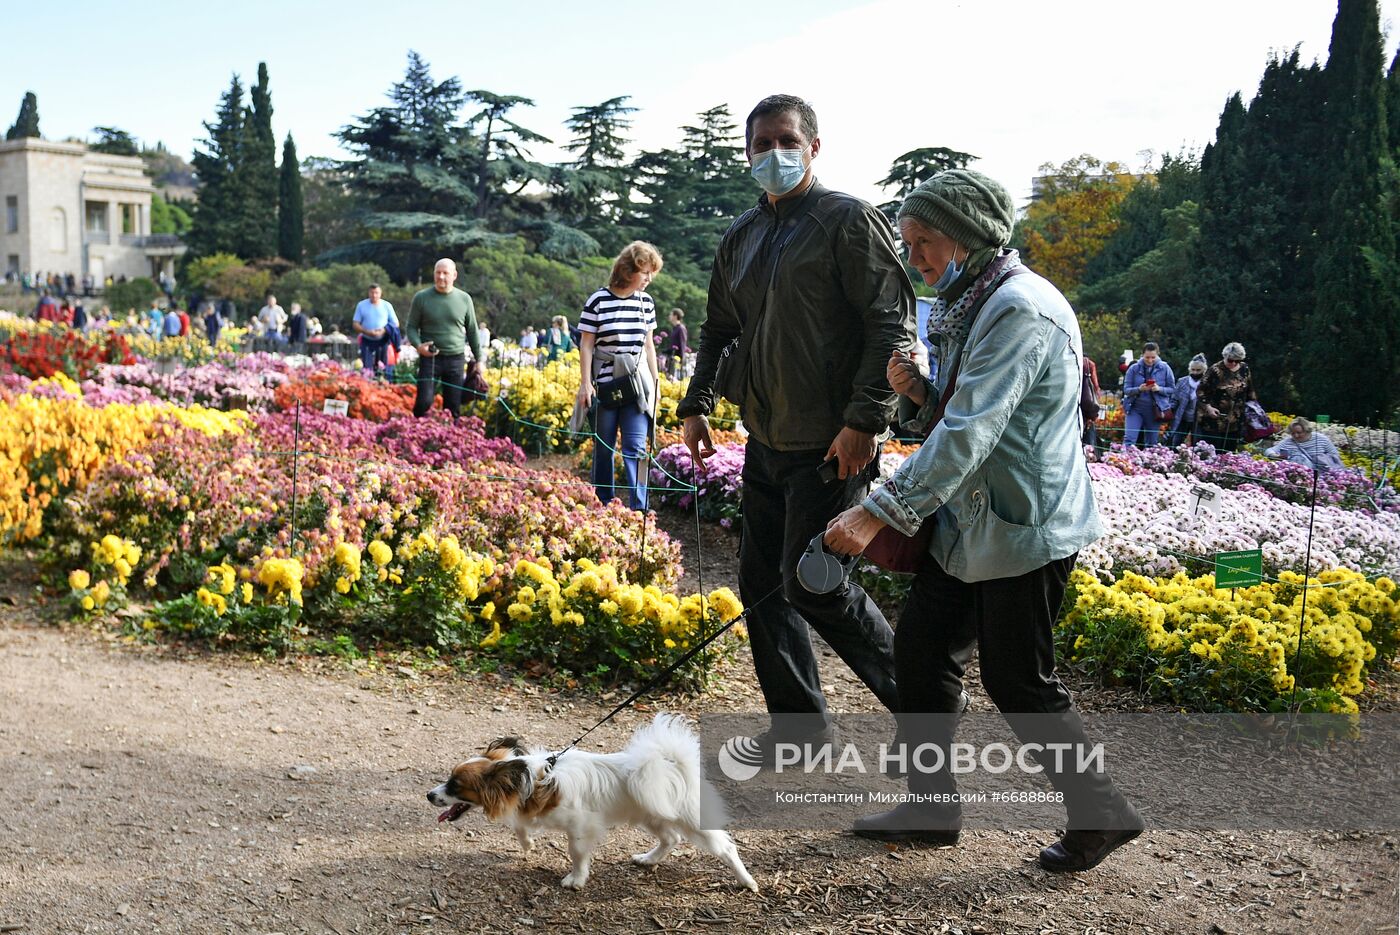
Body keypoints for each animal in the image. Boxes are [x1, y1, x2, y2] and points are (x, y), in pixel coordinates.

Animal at [422, 716, 756, 890]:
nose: (429, 795)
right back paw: (648, 859)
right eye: (448, 779)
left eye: (455, 786)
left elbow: (577, 854)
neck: (535, 781)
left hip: (690, 821)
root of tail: (674, 763)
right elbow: (520, 826)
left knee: (726, 848)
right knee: (670, 838)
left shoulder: (581, 827)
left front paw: (576, 879)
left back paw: (747, 881)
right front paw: (528, 843)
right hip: (652, 814)